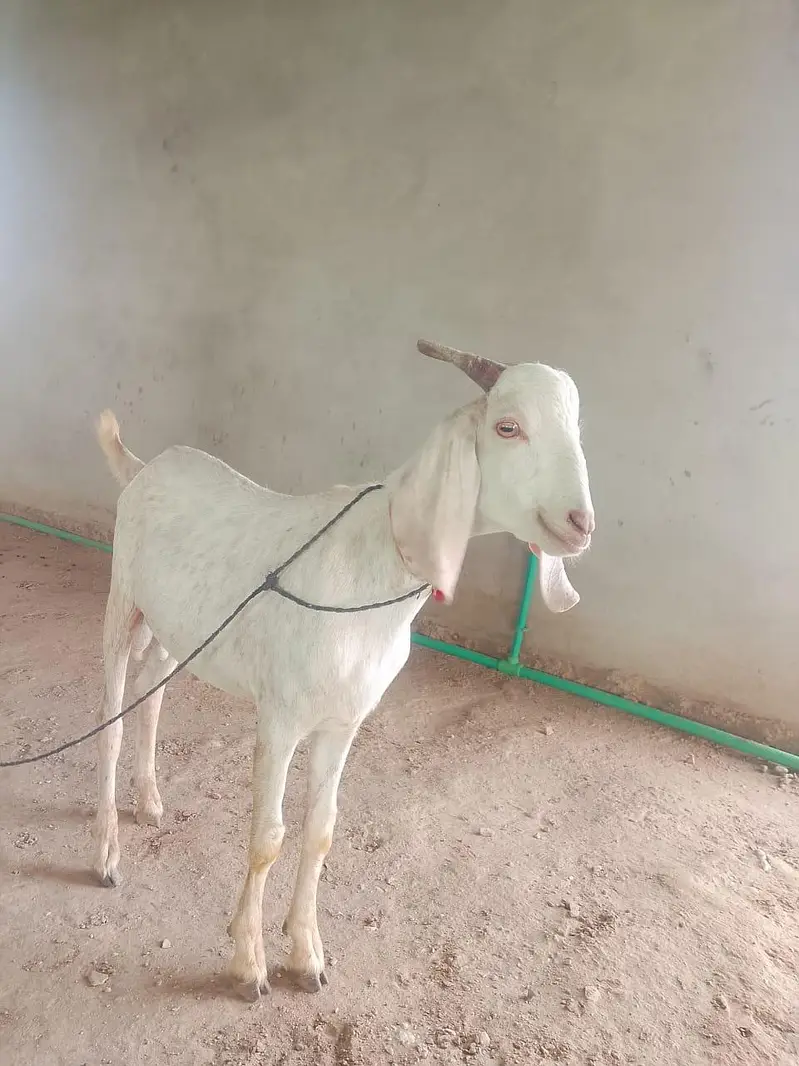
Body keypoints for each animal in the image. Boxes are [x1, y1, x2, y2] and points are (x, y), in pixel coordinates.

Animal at [92, 339, 595, 1000]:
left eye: (576, 427)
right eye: (508, 427)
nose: (580, 524)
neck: (373, 566)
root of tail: (143, 467)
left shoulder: (344, 720)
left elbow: (322, 829)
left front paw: (306, 955)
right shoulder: (279, 718)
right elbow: (267, 838)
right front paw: (248, 964)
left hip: (181, 626)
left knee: (150, 689)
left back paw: (149, 799)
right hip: (122, 593)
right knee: (111, 715)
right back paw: (105, 853)